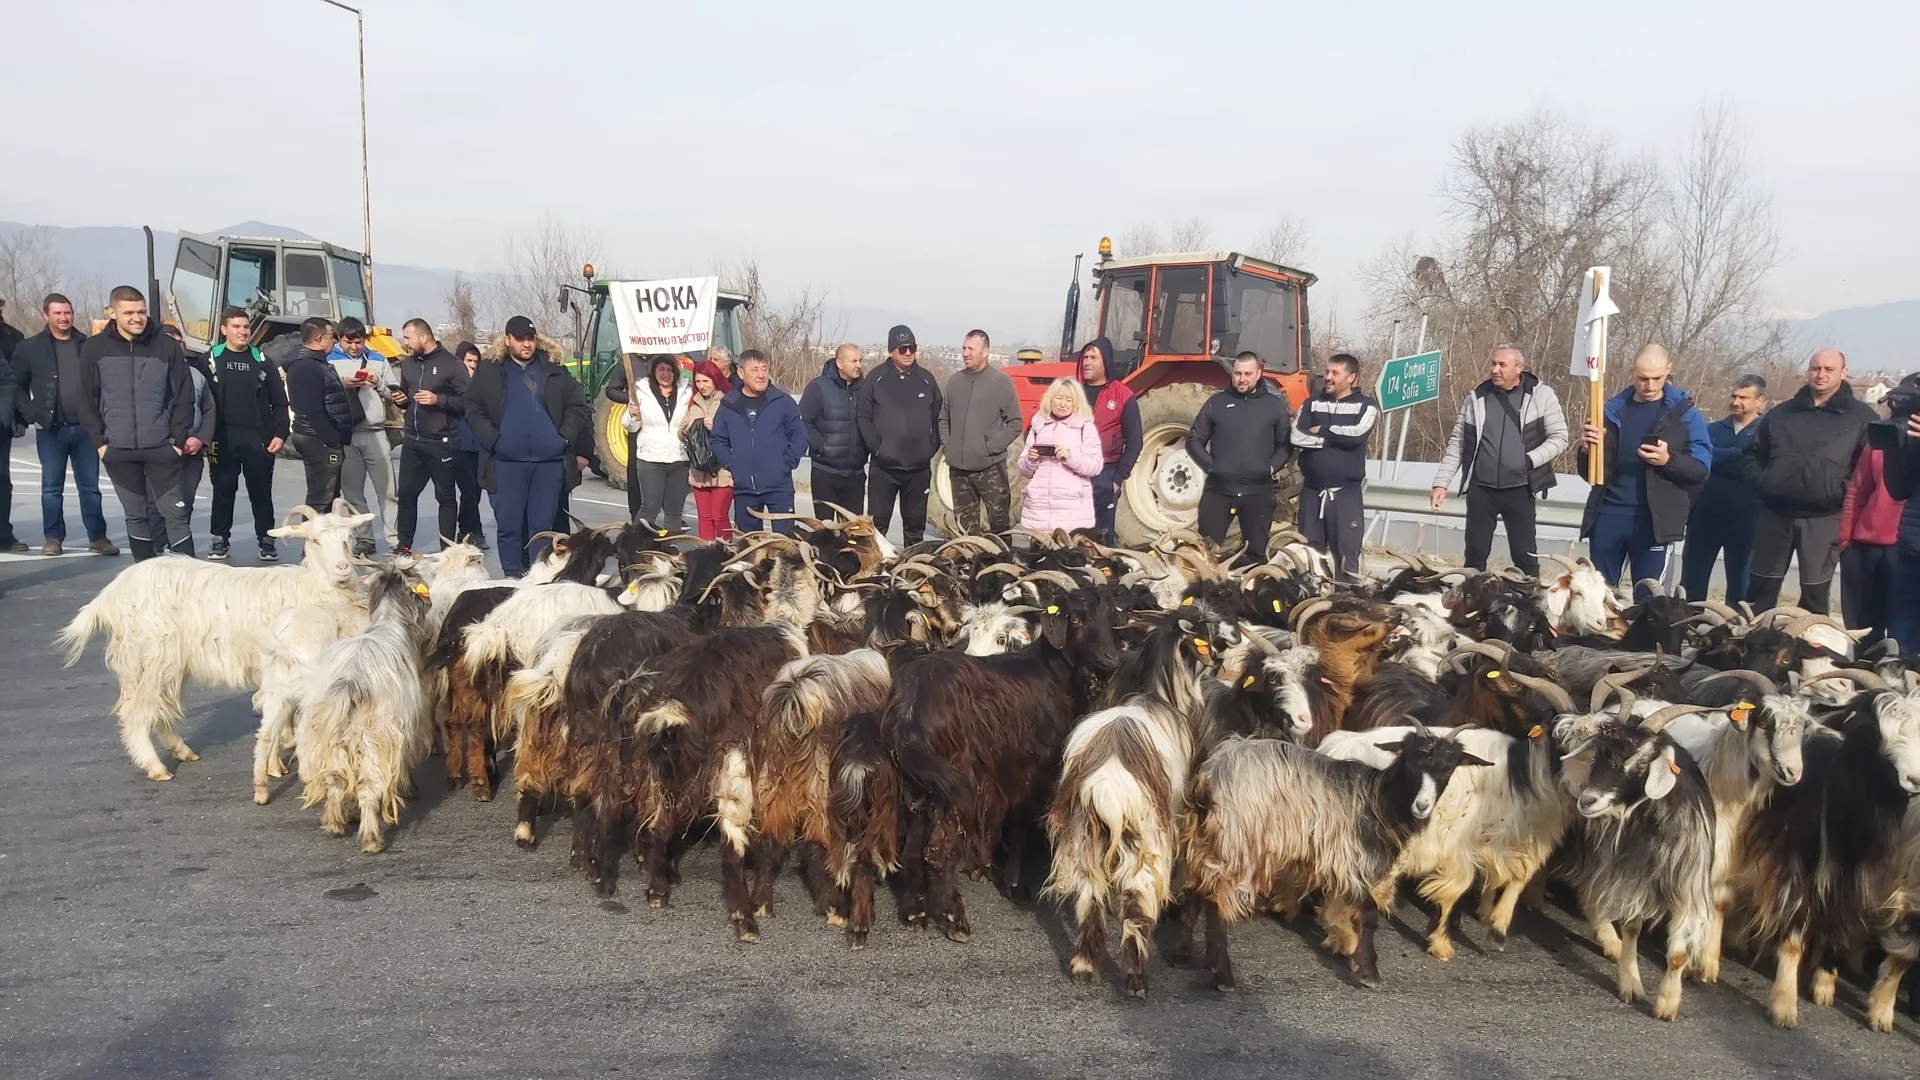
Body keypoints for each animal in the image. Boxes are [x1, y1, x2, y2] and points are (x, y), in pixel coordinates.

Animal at [57, 499, 370, 776]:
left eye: (349, 537)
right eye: (314, 540)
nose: (343, 568)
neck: (313, 587)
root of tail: (109, 595)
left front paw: (280, 750)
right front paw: (279, 756)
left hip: (165, 662)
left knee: (160, 708)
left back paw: (181, 751)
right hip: (150, 655)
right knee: (137, 711)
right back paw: (155, 767)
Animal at [291, 568, 432, 853]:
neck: (389, 623)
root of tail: (350, 682)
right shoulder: (403, 728)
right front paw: (409, 787)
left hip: (333, 734)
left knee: (335, 779)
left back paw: (334, 824)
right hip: (373, 737)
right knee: (368, 786)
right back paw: (370, 839)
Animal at [1175, 726, 1489, 991]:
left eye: (1448, 768)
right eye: (1410, 762)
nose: (1422, 805)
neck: (1378, 800)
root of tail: (1210, 778)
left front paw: (1349, 950)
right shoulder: (1351, 862)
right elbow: (1368, 915)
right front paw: (1368, 970)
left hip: (1204, 843)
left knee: (1195, 893)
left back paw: (1187, 954)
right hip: (1239, 845)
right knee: (1218, 903)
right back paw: (1223, 976)